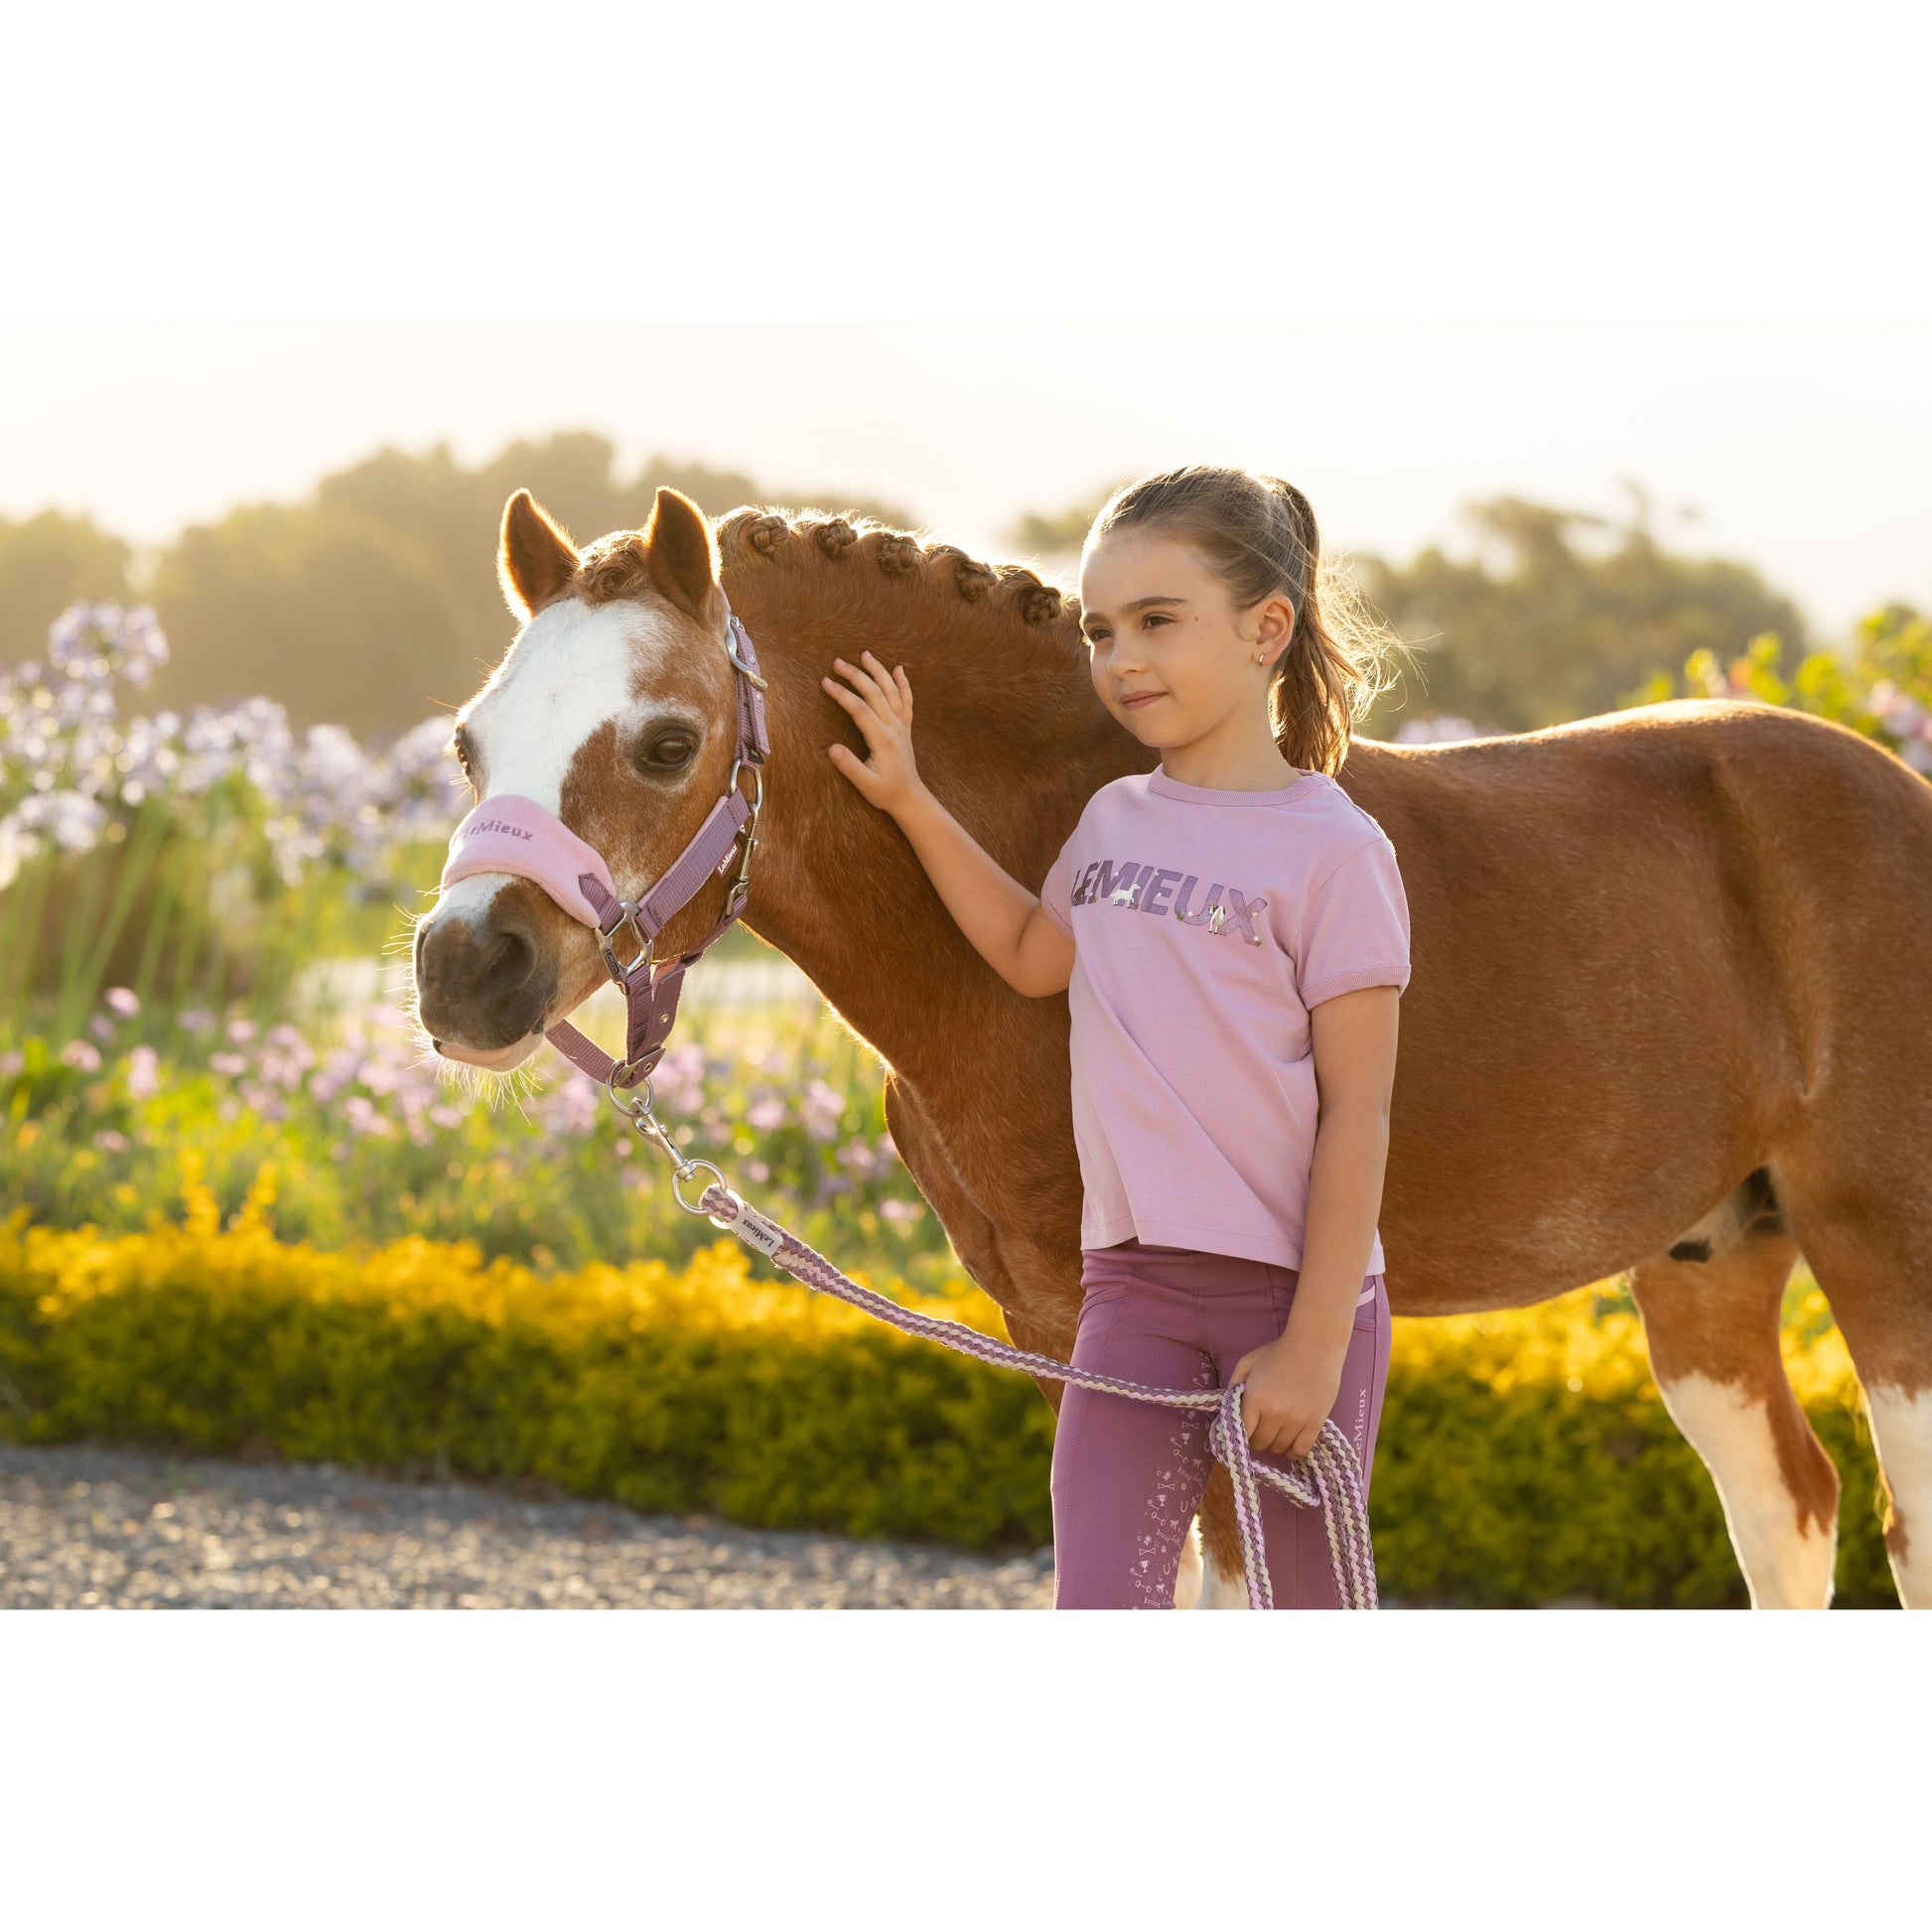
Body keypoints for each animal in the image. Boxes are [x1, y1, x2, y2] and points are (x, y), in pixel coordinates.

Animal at [413, 484, 1932, 1610]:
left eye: (668, 743)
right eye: (467, 742)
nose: (462, 969)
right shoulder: (1068, 1331)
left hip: (1881, 1260)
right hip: (1706, 1264)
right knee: (1789, 1514)